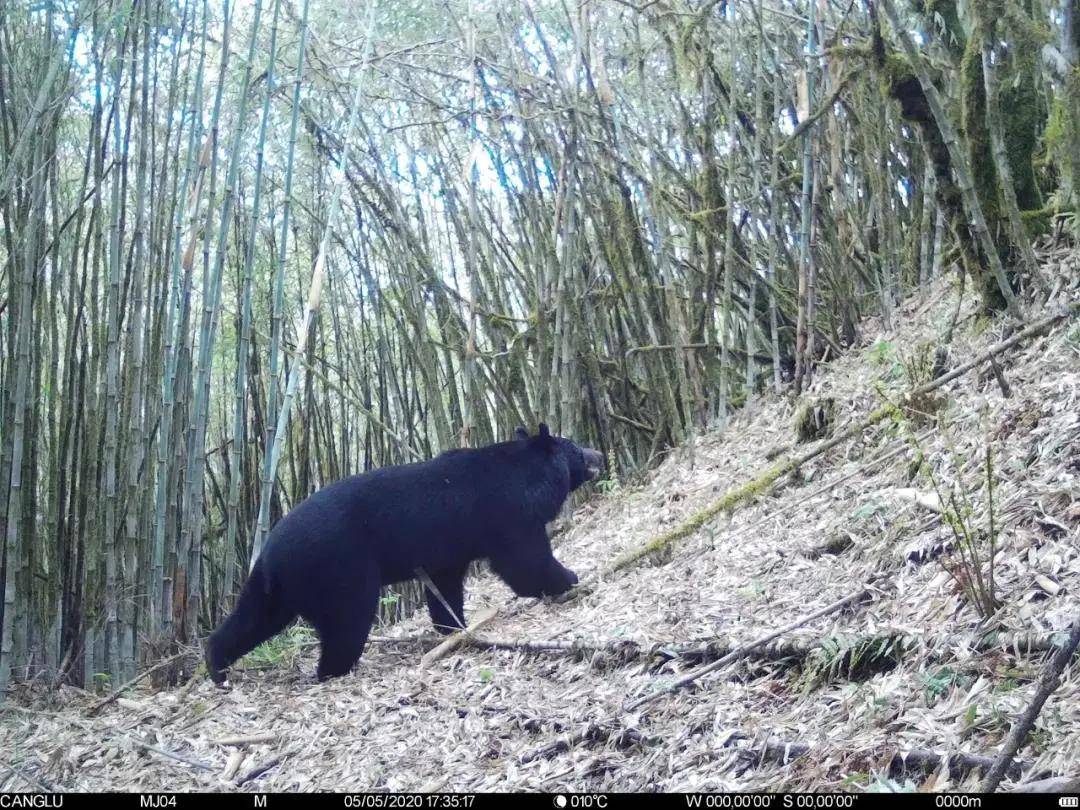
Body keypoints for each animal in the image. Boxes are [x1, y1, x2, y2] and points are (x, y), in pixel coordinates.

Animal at [206, 425, 604, 686]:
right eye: (574, 447)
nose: (599, 452)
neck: (526, 474)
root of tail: (271, 553)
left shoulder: (445, 550)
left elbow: (446, 584)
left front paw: (452, 627)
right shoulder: (507, 513)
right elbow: (524, 560)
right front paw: (569, 579)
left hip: (275, 588)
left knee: (253, 620)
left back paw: (217, 667)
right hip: (339, 570)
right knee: (347, 622)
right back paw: (334, 669)